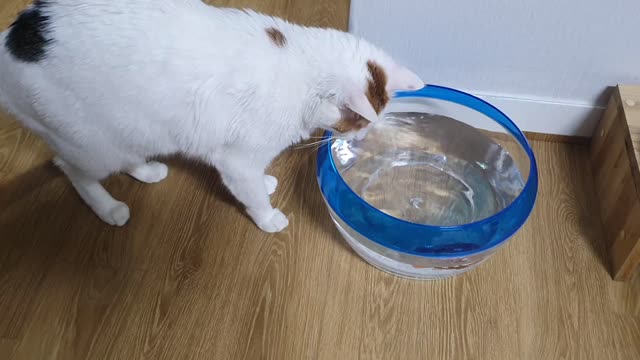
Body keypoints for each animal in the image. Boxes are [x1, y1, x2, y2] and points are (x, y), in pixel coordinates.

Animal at [0, 0, 424, 233]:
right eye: (359, 122)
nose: (361, 140)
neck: (303, 68)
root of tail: (15, 36)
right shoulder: (237, 160)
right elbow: (251, 193)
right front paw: (268, 218)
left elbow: (257, 183)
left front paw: (267, 185)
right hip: (92, 143)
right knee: (70, 169)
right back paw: (109, 208)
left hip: (129, 130)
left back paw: (147, 170)